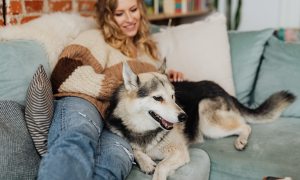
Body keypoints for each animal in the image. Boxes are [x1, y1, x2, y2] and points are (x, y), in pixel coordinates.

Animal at [105, 61, 296, 179]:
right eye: (157, 98)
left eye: (173, 96)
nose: (184, 117)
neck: (143, 130)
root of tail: (222, 89)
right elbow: (134, 149)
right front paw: (145, 162)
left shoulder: (180, 153)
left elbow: (160, 167)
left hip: (207, 119)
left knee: (245, 125)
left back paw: (241, 141)